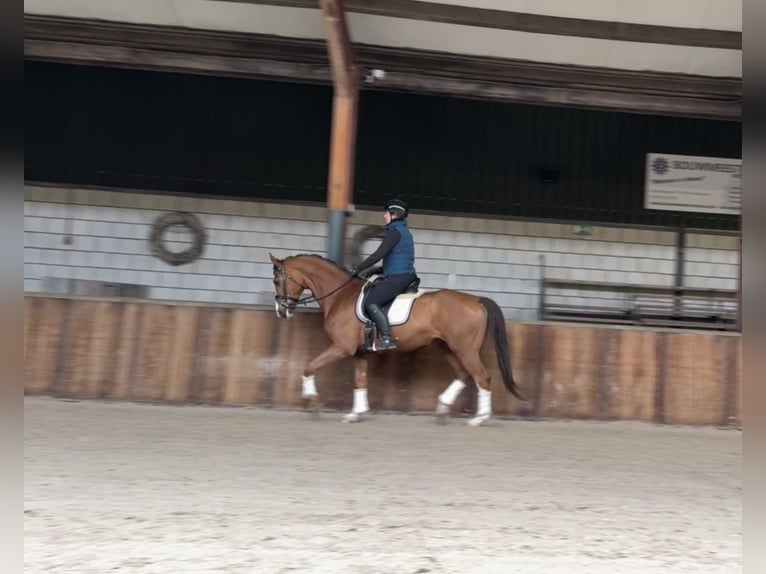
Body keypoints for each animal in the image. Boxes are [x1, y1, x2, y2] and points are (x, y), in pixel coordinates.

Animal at [269, 252, 525, 426]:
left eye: (277, 280)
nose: (281, 311)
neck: (341, 296)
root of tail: (477, 300)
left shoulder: (341, 347)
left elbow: (309, 368)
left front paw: (313, 404)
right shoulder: (359, 353)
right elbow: (360, 382)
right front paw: (356, 413)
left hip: (465, 349)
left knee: (482, 377)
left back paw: (478, 419)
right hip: (449, 348)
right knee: (464, 375)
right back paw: (443, 409)